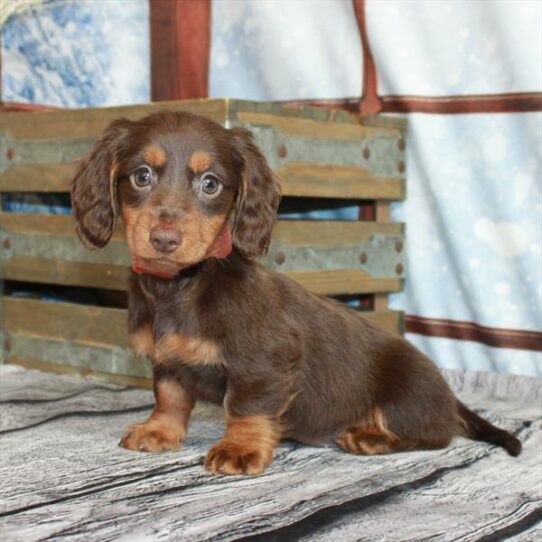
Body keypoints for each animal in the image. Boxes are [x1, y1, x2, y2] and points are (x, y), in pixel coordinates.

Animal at [72, 111, 524, 476]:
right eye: (141, 176)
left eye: (211, 184)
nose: (164, 239)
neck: (181, 284)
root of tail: (449, 395)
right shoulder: (167, 360)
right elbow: (170, 396)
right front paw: (159, 431)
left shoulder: (265, 363)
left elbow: (246, 406)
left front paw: (240, 448)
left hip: (407, 398)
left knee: (433, 434)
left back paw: (371, 437)